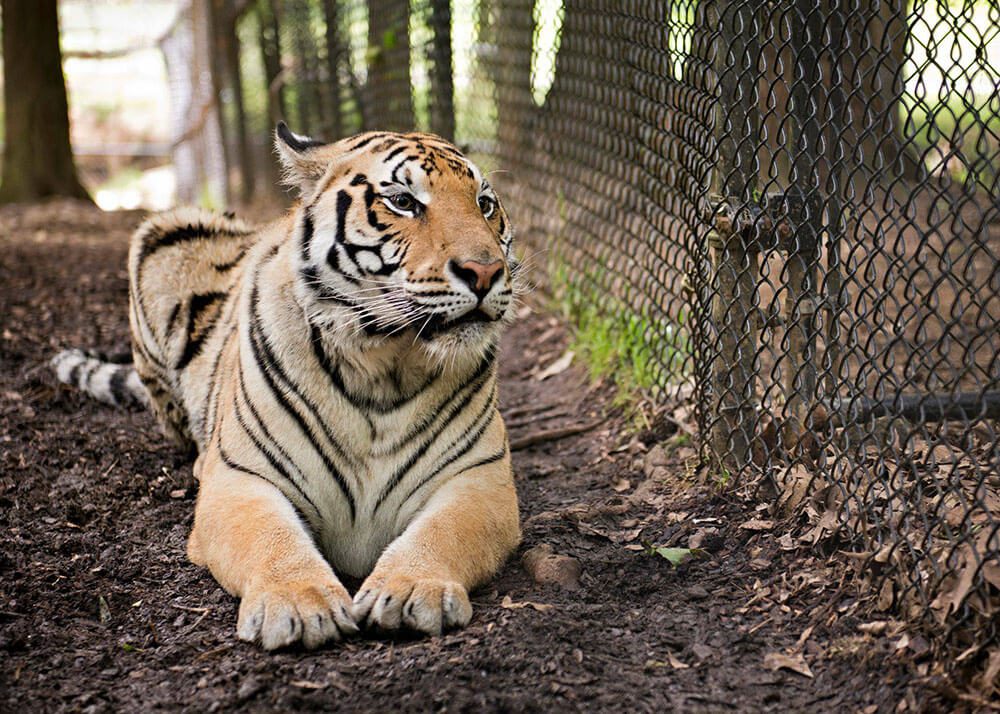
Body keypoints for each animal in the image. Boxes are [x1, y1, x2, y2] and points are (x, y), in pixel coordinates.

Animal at [52, 122, 522, 650]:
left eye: (485, 203)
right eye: (403, 201)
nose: (486, 272)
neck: (387, 363)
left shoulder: (480, 479)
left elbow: (442, 533)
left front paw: (409, 589)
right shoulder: (242, 478)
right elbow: (271, 540)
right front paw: (300, 603)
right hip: (160, 234)